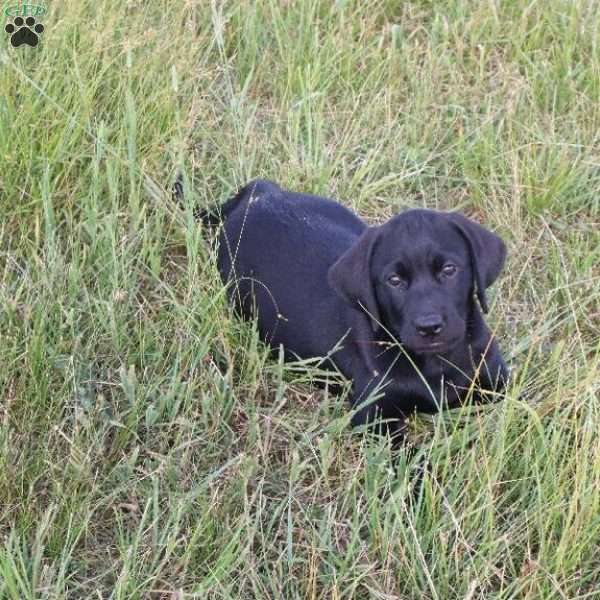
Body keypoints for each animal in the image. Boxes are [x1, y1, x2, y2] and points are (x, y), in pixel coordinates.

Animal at [198, 178, 506, 432]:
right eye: (394, 280)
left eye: (449, 270)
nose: (429, 327)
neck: (437, 363)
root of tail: (261, 195)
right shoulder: (374, 415)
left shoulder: (497, 384)